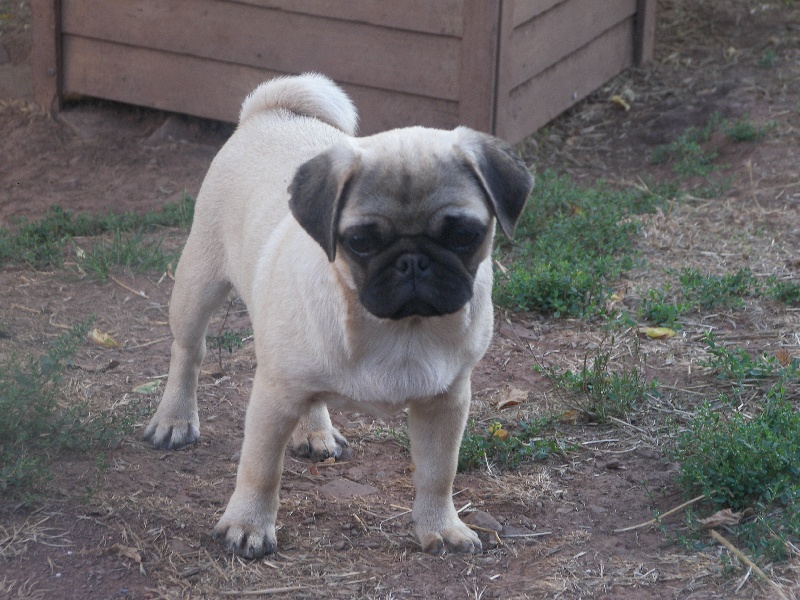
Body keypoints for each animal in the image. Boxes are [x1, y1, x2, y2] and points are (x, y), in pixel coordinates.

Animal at [144, 74, 536, 556]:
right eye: (362, 242)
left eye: (464, 235)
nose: (413, 261)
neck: (398, 329)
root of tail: (271, 110)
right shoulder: (271, 399)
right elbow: (259, 468)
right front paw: (248, 524)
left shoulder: (446, 402)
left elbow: (438, 472)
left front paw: (440, 527)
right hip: (199, 285)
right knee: (188, 351)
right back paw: (175, 419)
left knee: (311, 396)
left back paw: (316, 432)